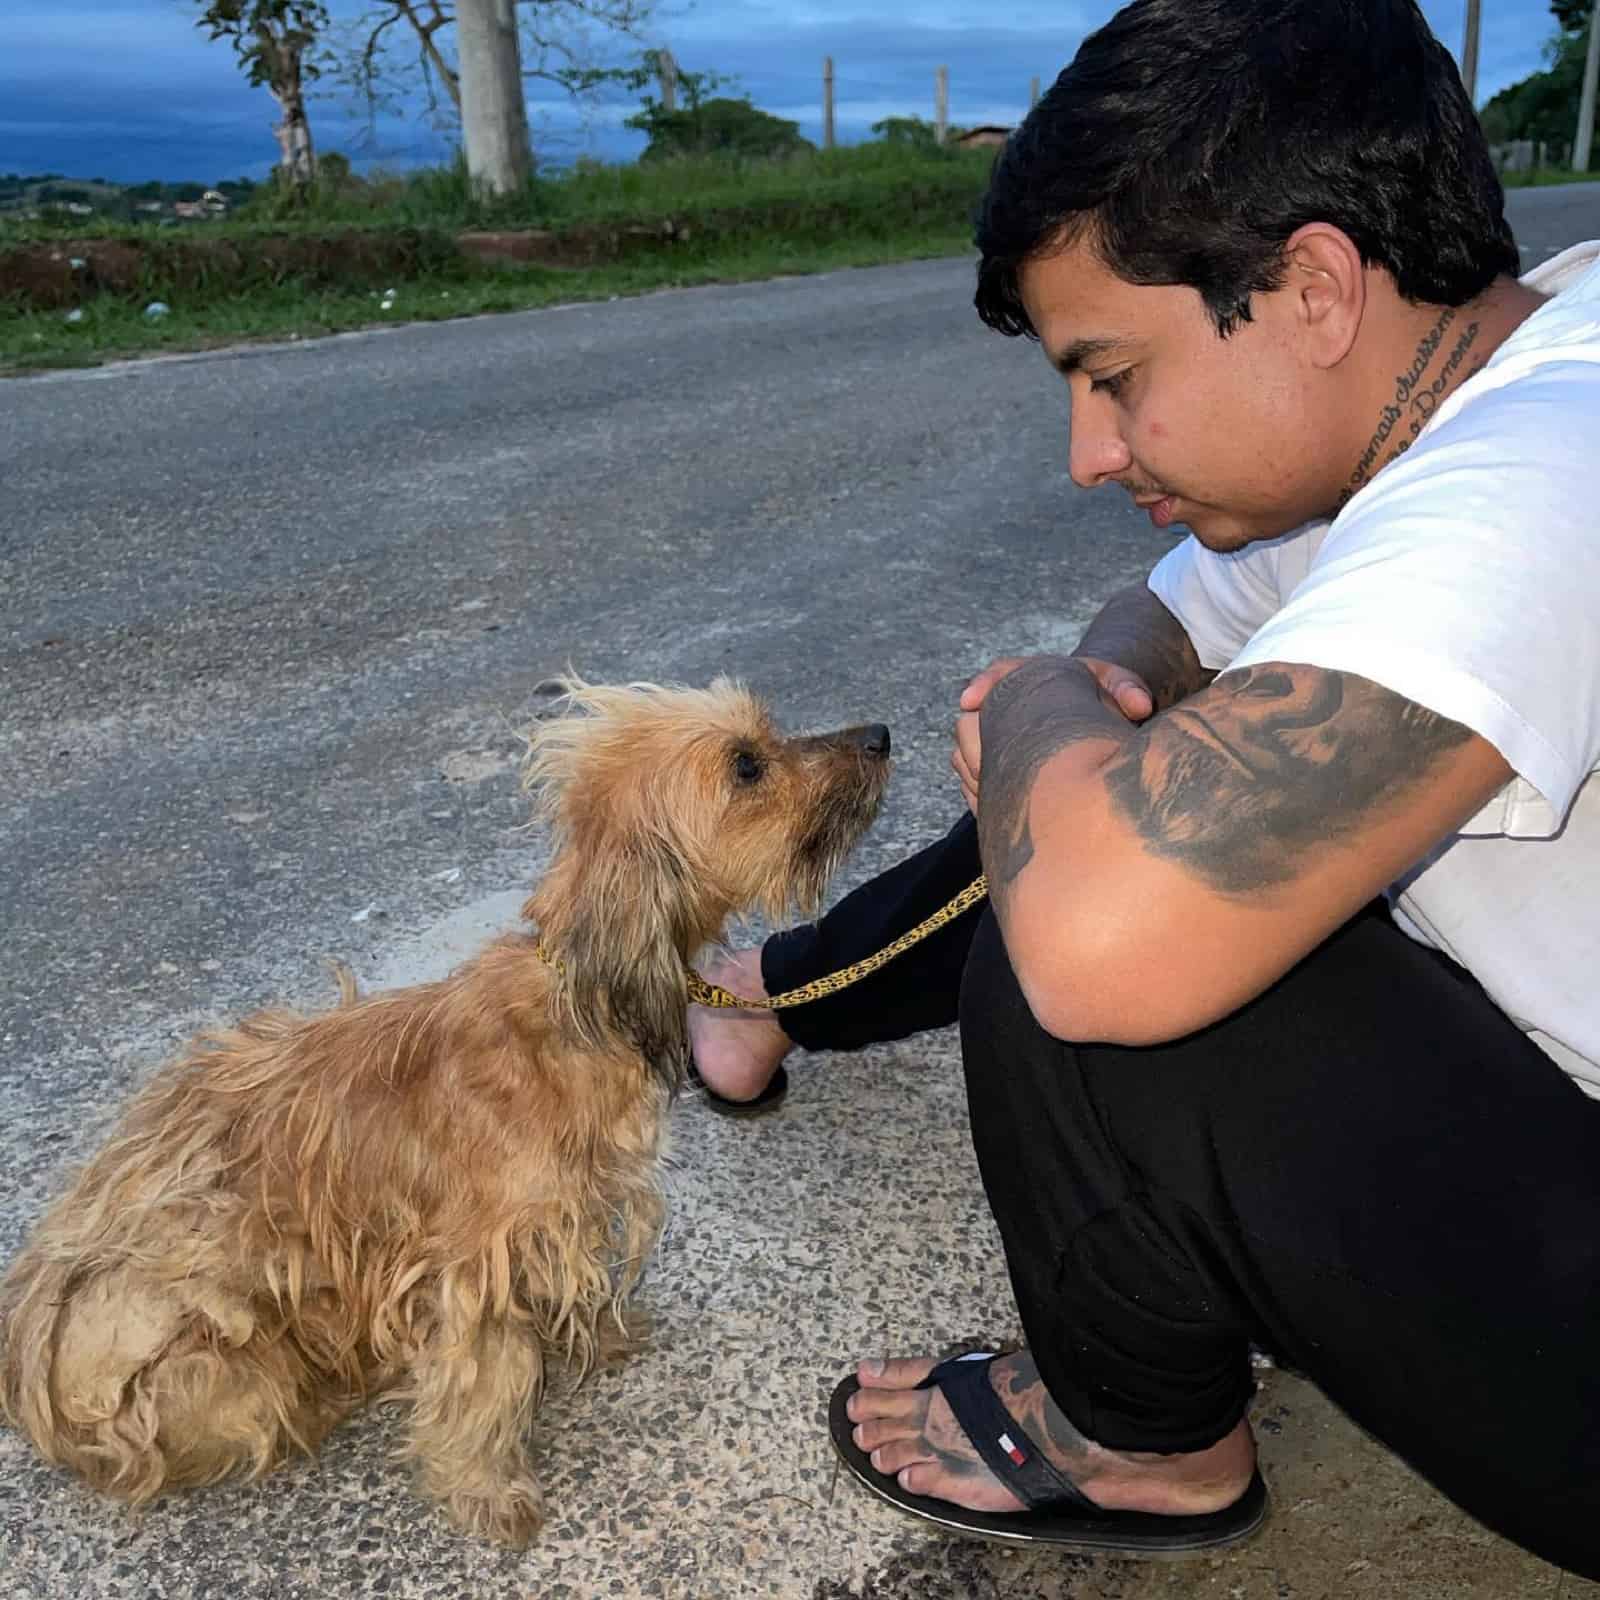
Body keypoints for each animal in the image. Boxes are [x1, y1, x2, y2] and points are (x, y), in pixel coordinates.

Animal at [0, 678, 889, 1548]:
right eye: (745, 766)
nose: (880, 736)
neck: (576, 1003)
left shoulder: (565, 1213)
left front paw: (594, 1338)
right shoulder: (472, 1263)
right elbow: (486, 1376)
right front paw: (488, 1488)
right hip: (220, 1353)